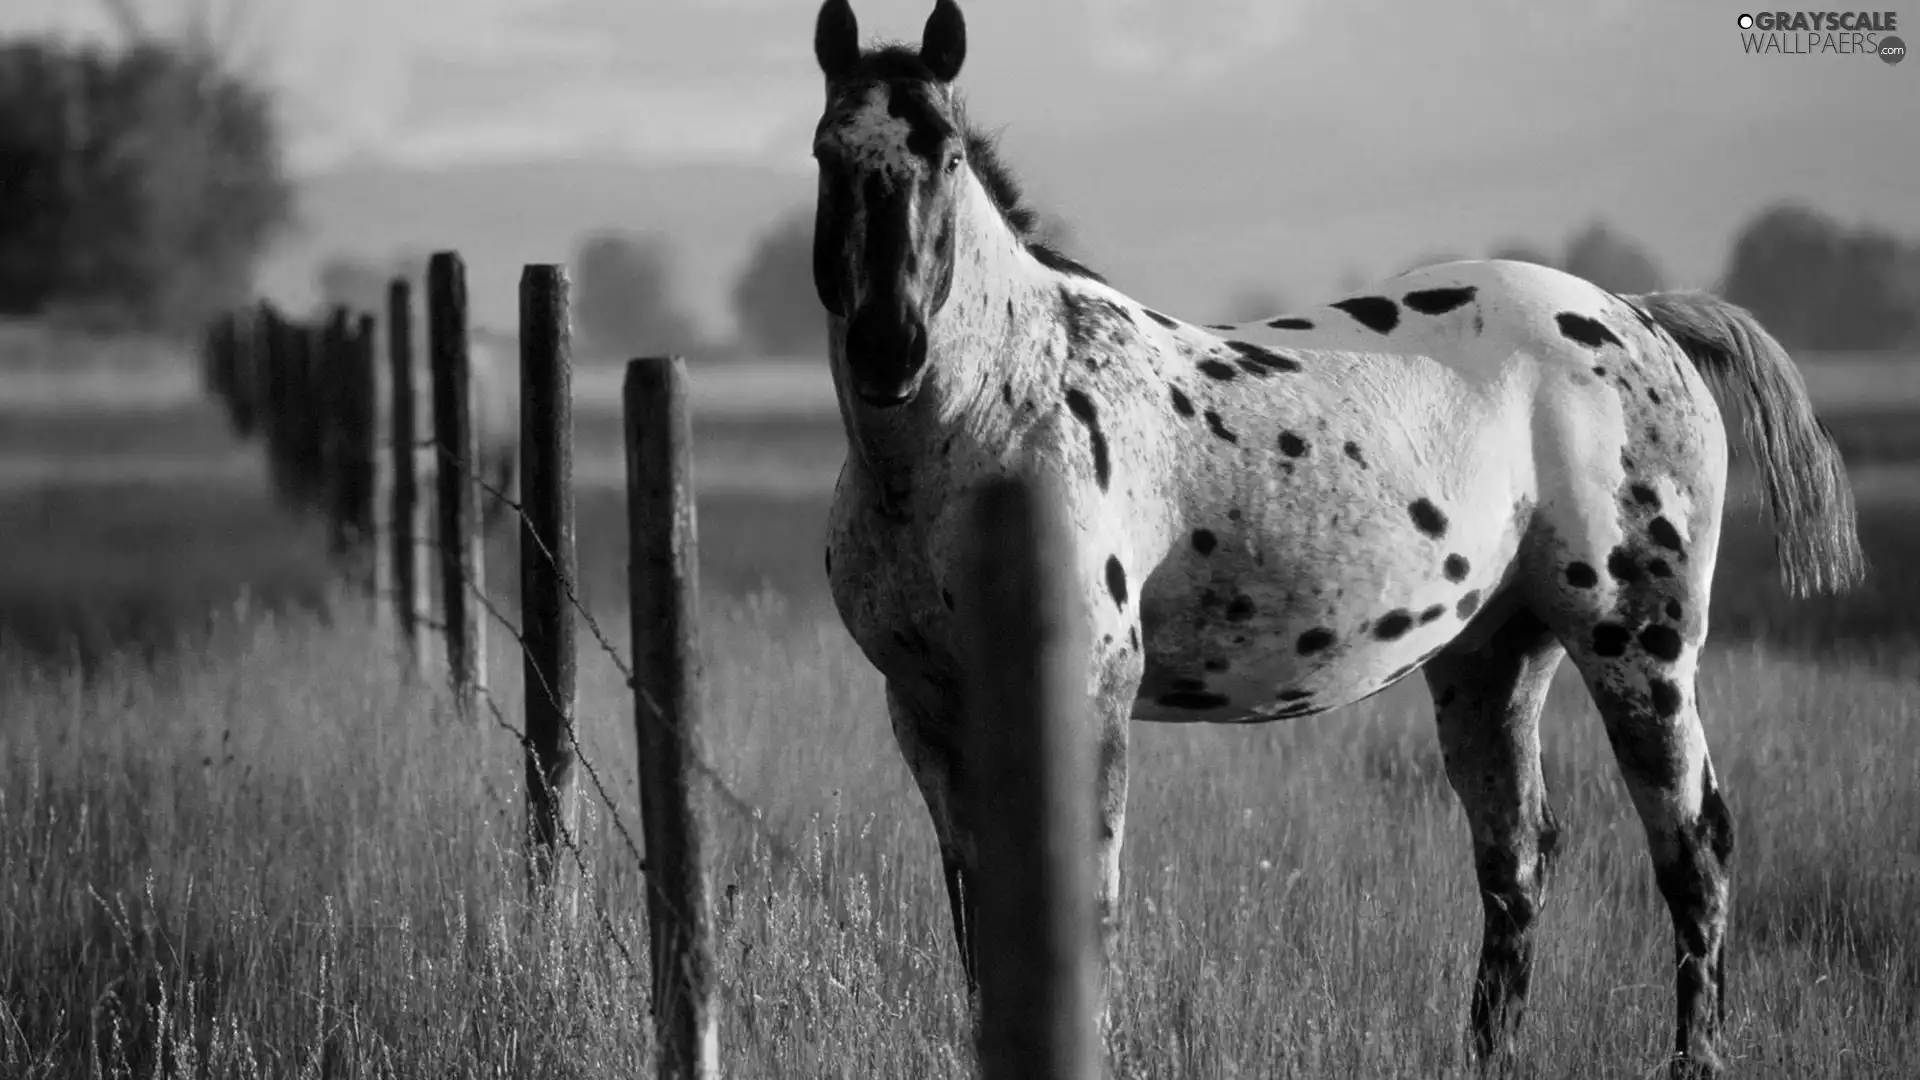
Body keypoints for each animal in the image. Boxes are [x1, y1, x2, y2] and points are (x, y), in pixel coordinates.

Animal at [806, 2, 1858, 1068]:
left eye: (944, 157)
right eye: (827, 153)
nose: (889, 349)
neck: (999, 412)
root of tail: (1640, 316)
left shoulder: (1087, 694)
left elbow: (1081, 907)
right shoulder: (927, 710)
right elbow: (978, 919)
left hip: (1640, 648)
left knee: (1694, 849)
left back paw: (1696, 1054)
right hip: (1495, 654)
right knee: (1518, 860)